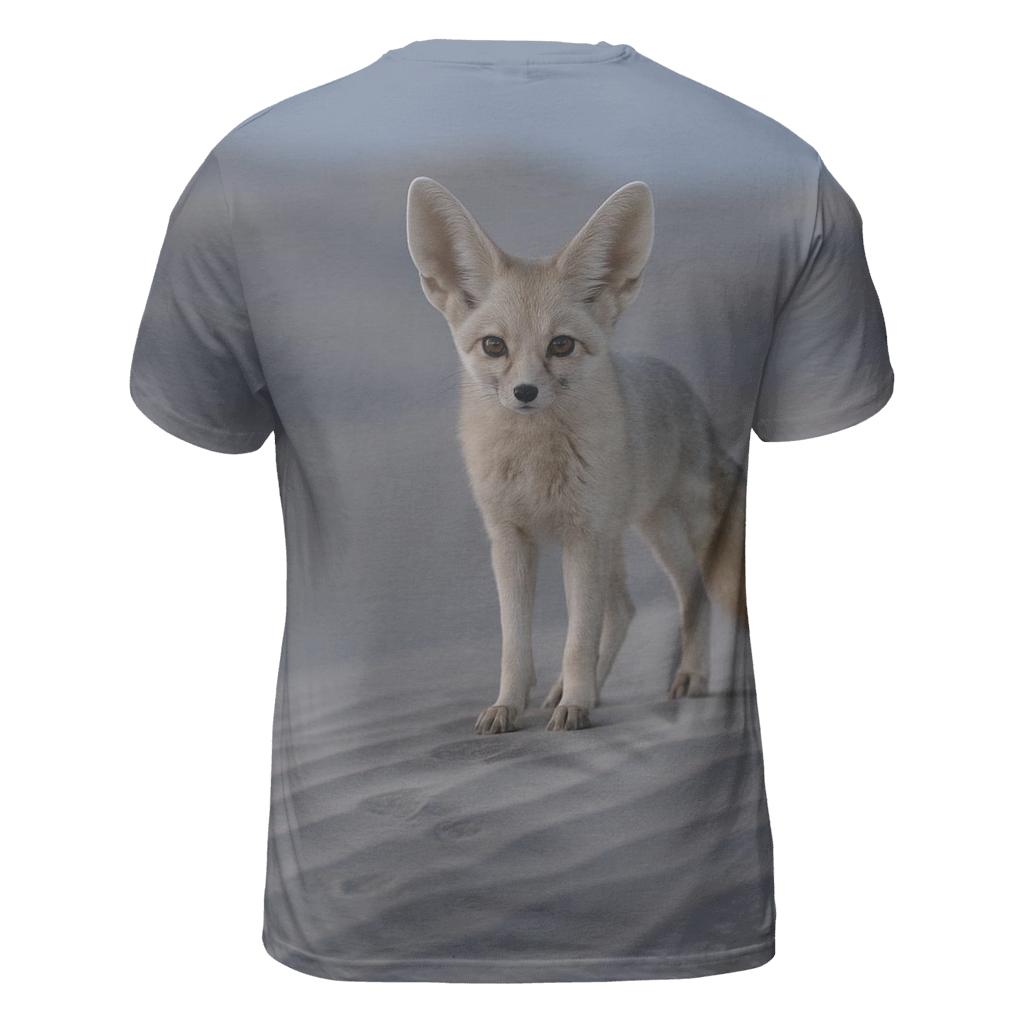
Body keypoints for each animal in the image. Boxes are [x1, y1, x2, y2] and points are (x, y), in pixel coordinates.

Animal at [406, 176, 746, 733]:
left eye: (561, 345)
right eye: (494, 346)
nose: (524, 392)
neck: (533, 464)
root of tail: (683, 386)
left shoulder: (580, 538)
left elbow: (577, 638)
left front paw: (575, 707)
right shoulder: (512, 540)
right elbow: (515, 643)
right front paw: (510, 705)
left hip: (662, 532)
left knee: (691, 591)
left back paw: (689, 678)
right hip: (622, 538)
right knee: (626, 610)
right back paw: (577, 690)